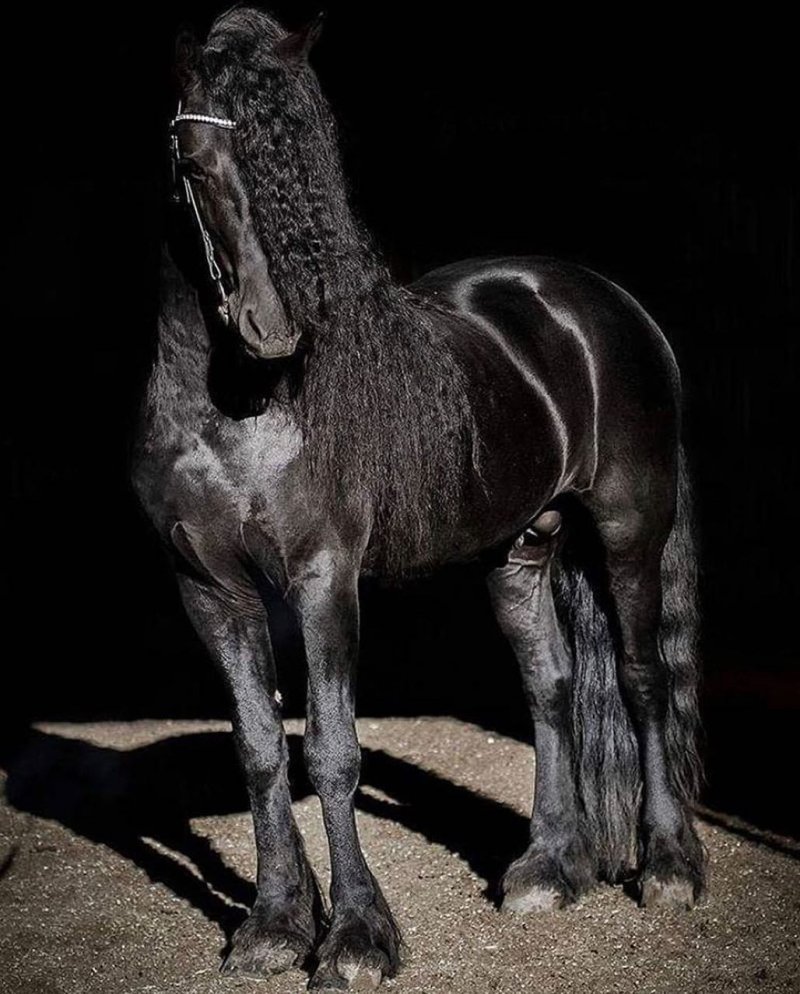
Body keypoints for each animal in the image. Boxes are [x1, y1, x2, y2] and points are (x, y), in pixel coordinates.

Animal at [131, 7, 706, 989]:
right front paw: (273, 928)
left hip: (629, 531)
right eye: (200, 165)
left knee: (642, 679)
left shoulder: (324, 581)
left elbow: (330, 753)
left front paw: (357, 939)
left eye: (307, 162)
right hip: (519, 549)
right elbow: (259, 750)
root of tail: (605, 303)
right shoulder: (210, 591)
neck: (235, 411)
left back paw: (667, 867)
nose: (274, 332)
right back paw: (547, 871)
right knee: (550, 686)